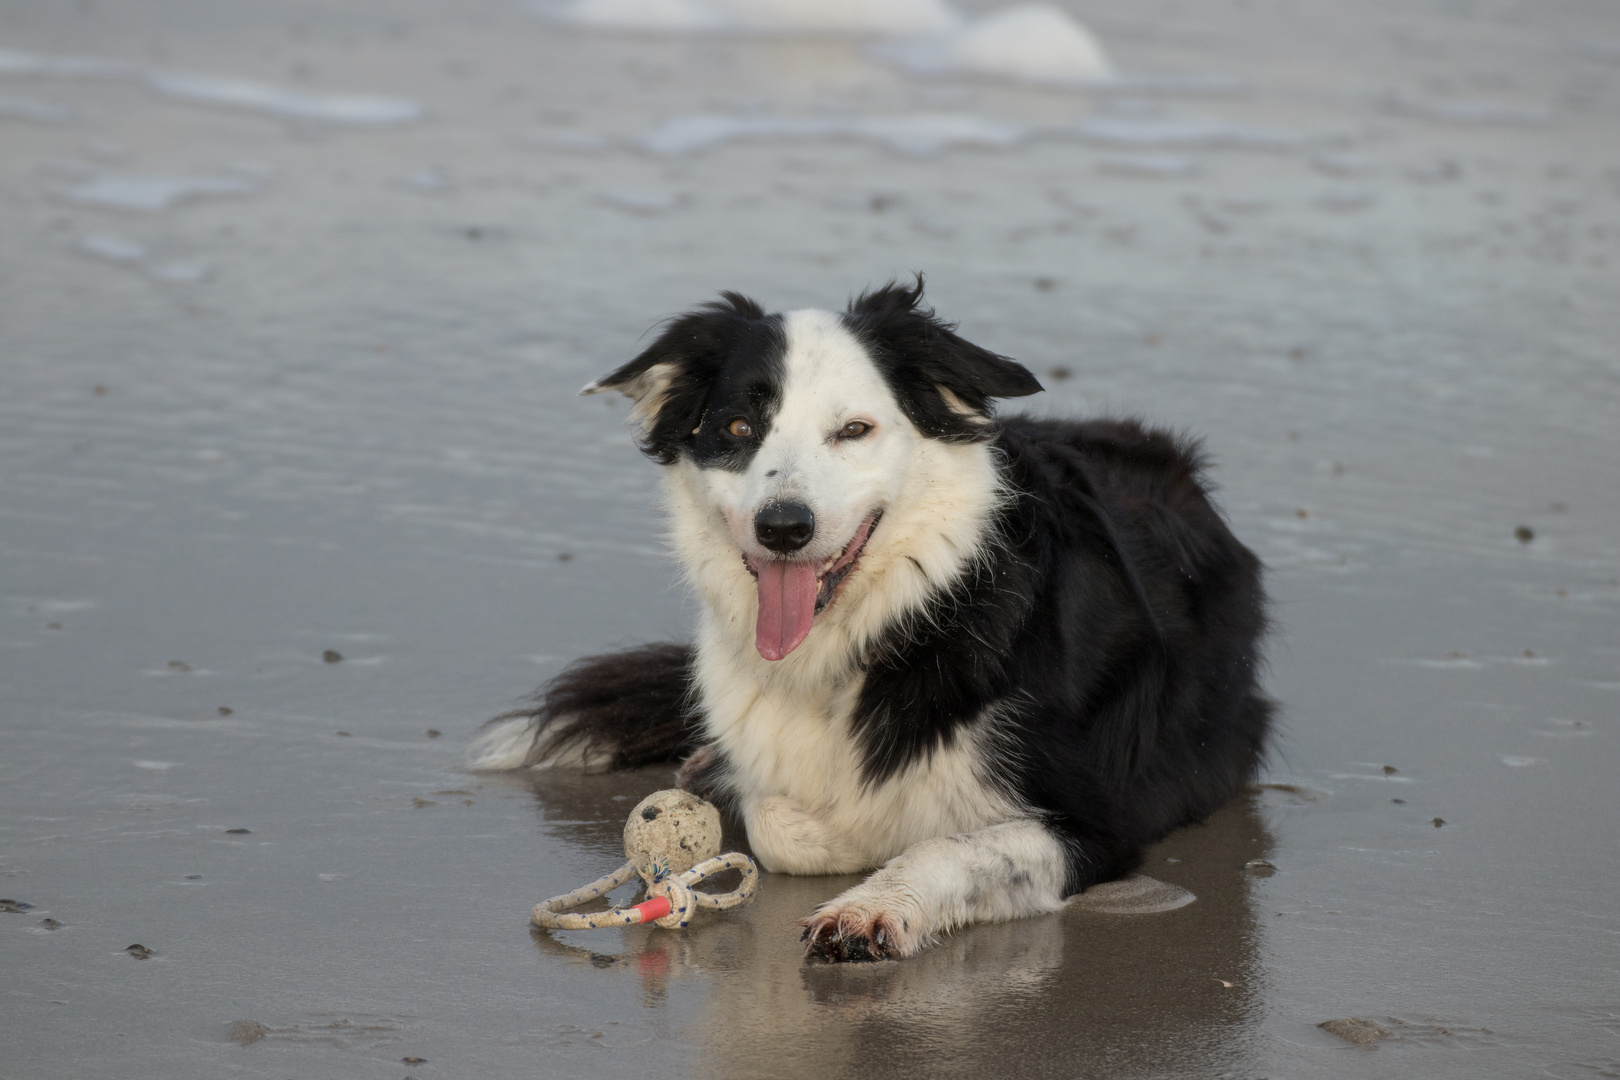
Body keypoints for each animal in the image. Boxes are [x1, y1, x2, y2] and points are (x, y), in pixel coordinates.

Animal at [473, 278, 1270, 965]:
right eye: (738, 426)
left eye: (854, 430)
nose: (783, 528)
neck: (880, 627)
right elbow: (780, 824)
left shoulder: (1096, 823)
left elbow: (951, 844)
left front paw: (872, 904)